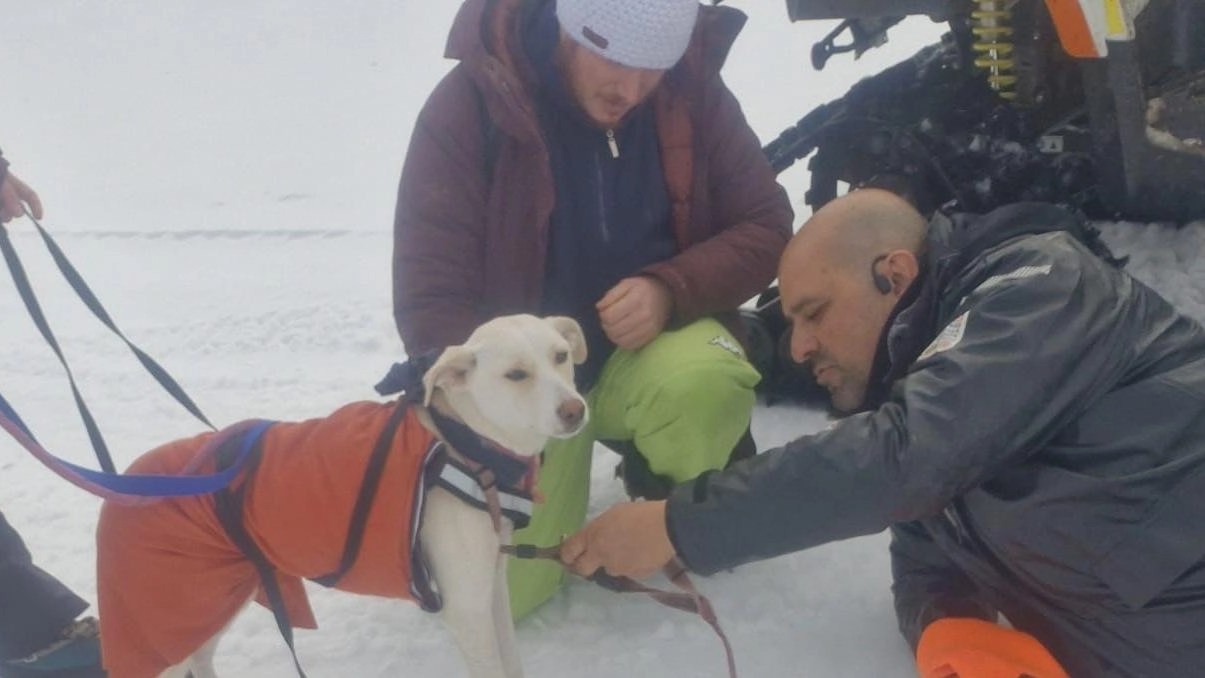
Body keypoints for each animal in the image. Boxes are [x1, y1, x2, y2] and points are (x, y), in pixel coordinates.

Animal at [95, 315, 588, 678]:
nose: (575, 409)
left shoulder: (490, 587)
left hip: (210, 605)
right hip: (168, 625)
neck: (461, 444)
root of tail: (121, 483)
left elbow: (513, 662)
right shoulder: (466, 607)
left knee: (201, 658)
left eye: (560, 357)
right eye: (516, 374)